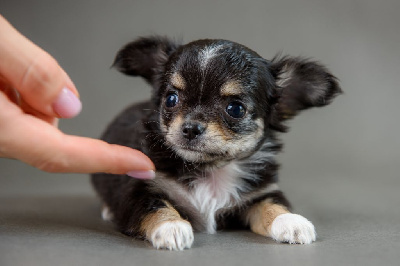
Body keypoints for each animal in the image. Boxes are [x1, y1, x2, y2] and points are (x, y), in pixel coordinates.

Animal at [90, 36, 340, 250]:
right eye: (171, 99)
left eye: (236, 109)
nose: (190, 128)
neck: (211, 169)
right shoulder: (142, 189)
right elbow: (155, 206)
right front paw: (172, 226)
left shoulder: (259, 193)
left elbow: (272, 204)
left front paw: (291, 221)